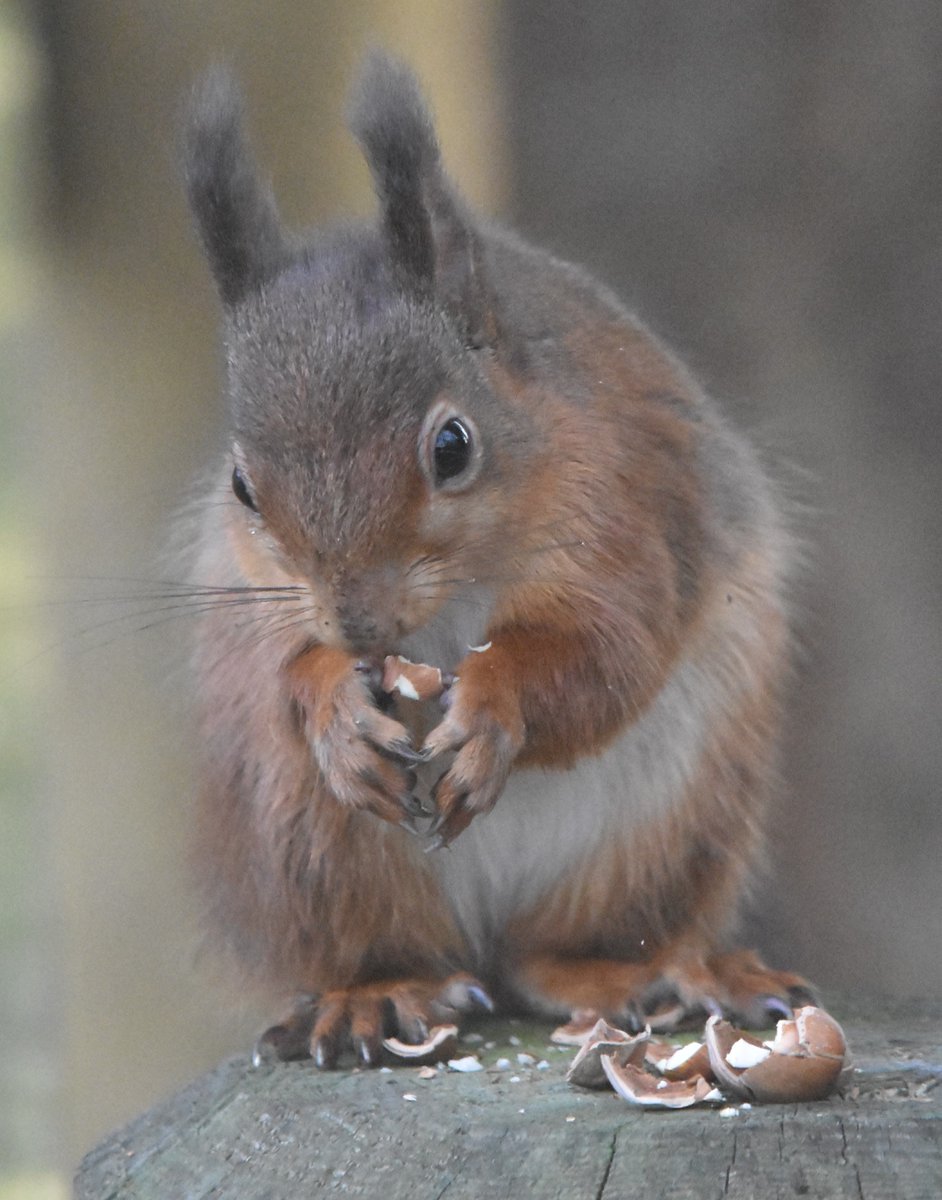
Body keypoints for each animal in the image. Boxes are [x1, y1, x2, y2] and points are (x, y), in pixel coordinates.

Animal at [180, 51, 812, 1068]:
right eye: (242, 486)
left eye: (452, 446)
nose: (357, 622)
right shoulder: (252, 592)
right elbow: (278, 668)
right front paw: (331, 704)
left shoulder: (630, 505)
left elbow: (607, 652)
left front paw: (493, 706)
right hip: (310, 847)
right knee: (398, 946)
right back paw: (377, 993)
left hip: (670, 824)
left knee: (547, 951)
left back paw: (634, 973)